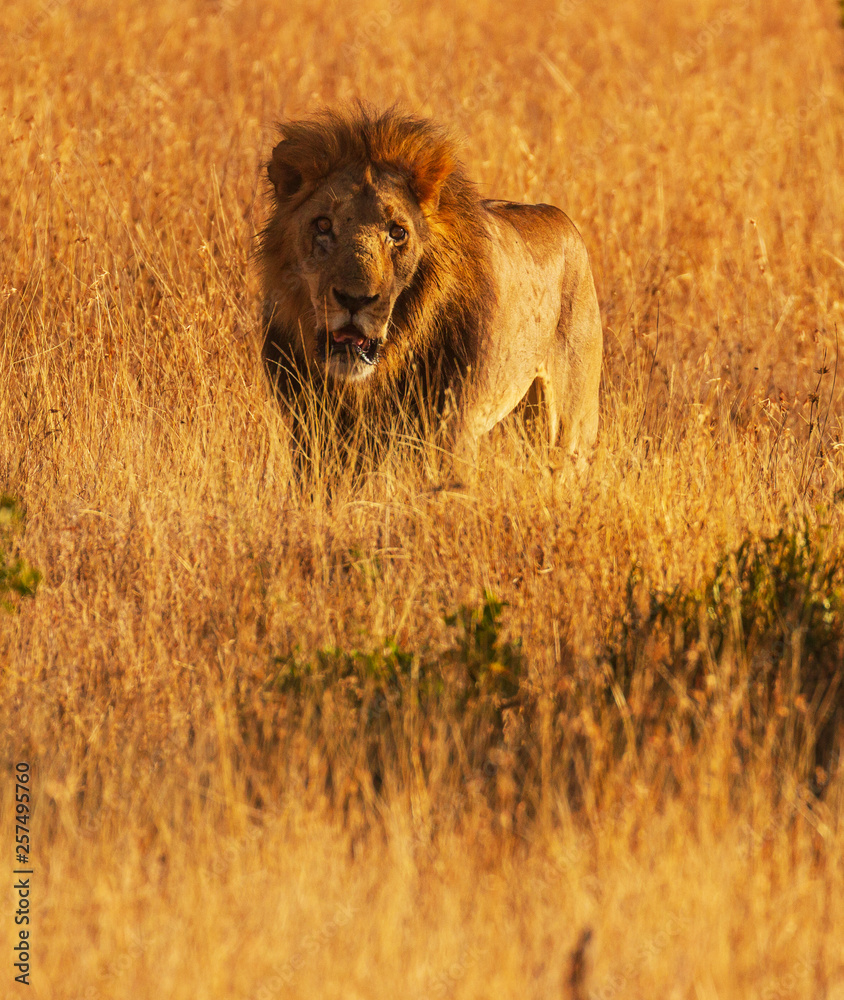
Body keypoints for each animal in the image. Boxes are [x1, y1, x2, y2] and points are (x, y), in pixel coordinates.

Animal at [259, 105, 602, 473]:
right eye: (323, 225)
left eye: (397, 233)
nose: (355, 300)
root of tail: (565, 222)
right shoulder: (313, 429)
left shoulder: (454, 427)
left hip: (572, 426)